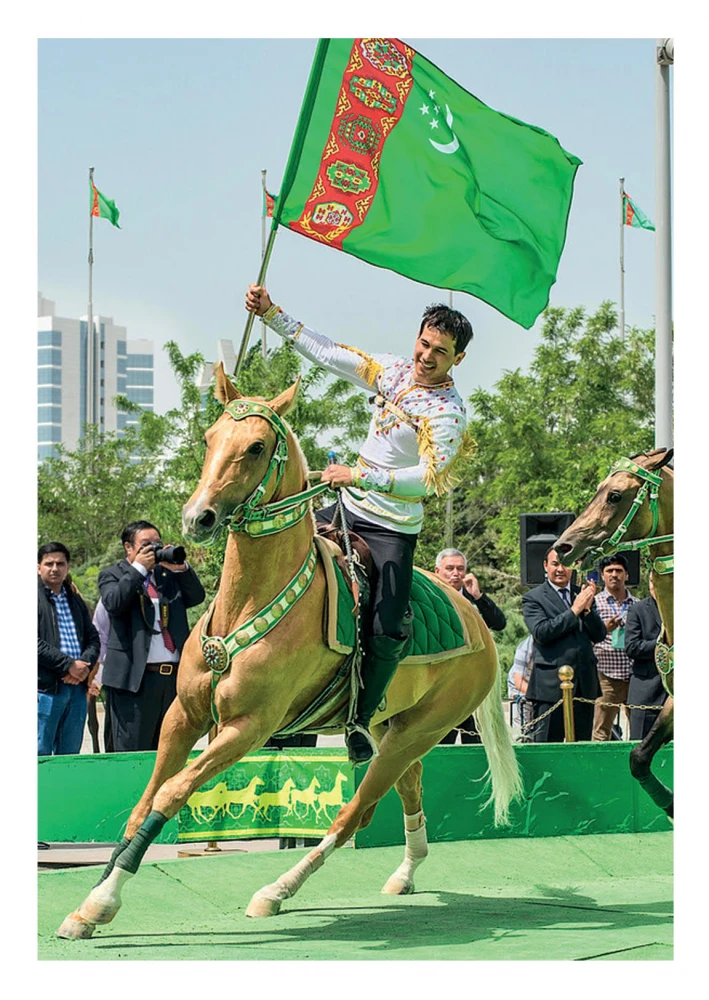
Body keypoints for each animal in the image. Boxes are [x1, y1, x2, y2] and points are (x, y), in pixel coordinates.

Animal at [58, 366, 524, 936]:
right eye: (210, 439)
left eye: (257, 446)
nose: (197, 519)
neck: (251, 598)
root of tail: (476, 620)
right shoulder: (183, 716)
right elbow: (143, 801)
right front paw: (90, 901)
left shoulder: (248, 728)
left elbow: (171, 794)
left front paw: (104, 901)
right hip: (393, 729)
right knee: (407, 790)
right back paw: (405, 874)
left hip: (418, 732)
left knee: (355, 815)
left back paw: (276, 891)